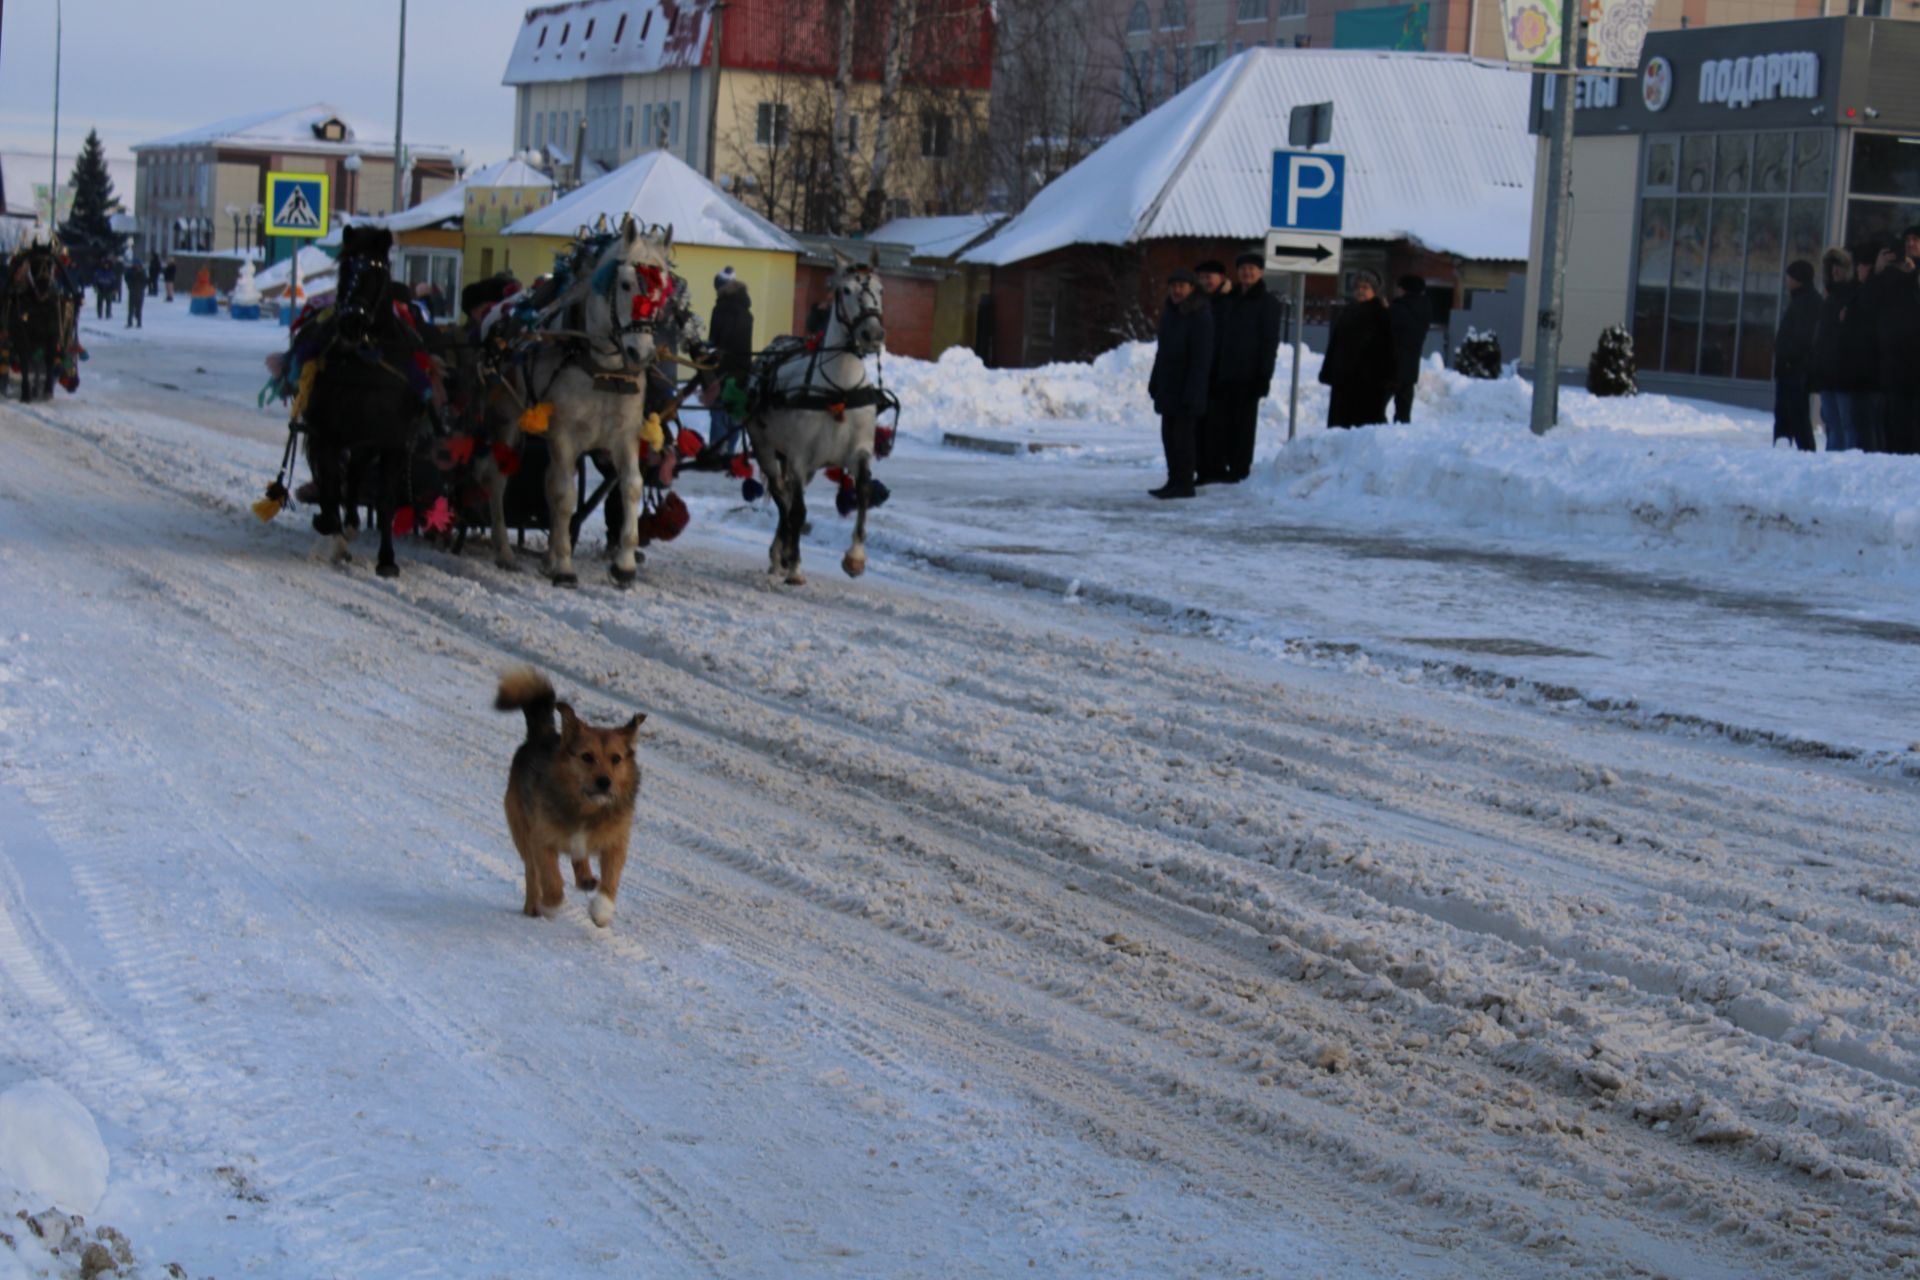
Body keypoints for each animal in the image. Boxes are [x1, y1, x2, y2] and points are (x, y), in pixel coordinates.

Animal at [480, 214, 675, 587]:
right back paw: (504, 551)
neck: (601, 369)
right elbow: (564, 497)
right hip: (506, 421)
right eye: (625, 284)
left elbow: (631, 487)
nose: (641, 353)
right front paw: (565, 566)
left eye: (663, 292)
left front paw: (624, 564)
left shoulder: (624, 436)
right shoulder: (563, 435)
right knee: (498, 480)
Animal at [495, 671, 645, 932]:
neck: (587, 807)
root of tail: (541, 735)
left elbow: (611, 880)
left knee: (578, 860)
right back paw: (534, 905)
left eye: (616, 759)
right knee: (532, 872)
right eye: (587, 757)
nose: (604, 782)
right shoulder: (541, 840)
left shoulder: (616, 842)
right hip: (521, 829)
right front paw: (550, 905)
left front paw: (602, 910)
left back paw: (585, 878)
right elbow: (551, 880)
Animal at [744, 253, 887, 583]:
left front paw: (855, 558)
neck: (840, 390)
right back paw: (783, 554)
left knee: (787, 497)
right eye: (846, 290)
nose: (872, 334)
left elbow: (863, 492)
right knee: (783, 497)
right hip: (766, 449)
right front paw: (795, 567)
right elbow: (797, 511)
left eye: (880, 288)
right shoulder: (798, 457)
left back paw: (780, 552)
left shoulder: (858, 451)